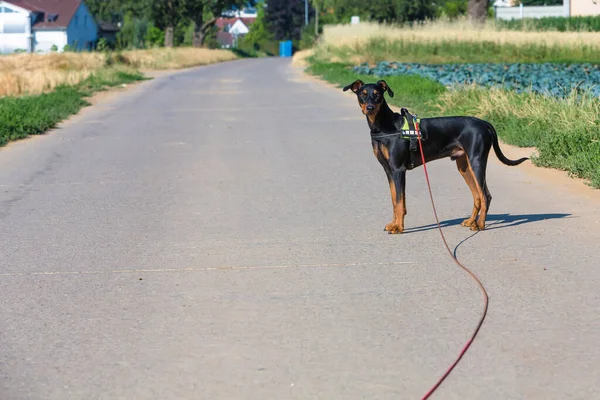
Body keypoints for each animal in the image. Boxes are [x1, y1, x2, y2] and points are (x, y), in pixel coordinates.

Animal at [344, 78, 528, 233]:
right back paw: (471, 221)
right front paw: (394, 224)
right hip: (464, 166)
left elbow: (400, 202)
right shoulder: (388, 171)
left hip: (477, 162)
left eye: (377, 95)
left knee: (485, 195)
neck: (384, 126)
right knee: (477, 195)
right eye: (362, 94)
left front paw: (399, 227)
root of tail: (483, 123)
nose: (369, 108)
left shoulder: (398, 169)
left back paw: (480, 225)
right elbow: (394, 199)